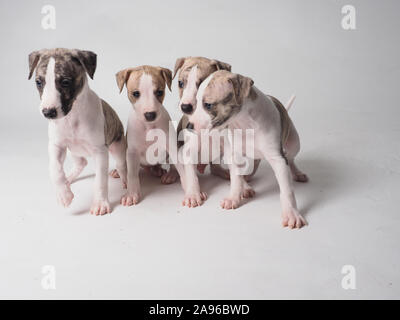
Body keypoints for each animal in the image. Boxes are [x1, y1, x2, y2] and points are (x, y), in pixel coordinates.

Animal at [28, 48, 126, 215]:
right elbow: (55, 169)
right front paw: (63, 195)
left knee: (122, 164)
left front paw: (100, 203)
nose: (48, 112)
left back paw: (125, 179)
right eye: (38, 82)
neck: (72, 117)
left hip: (117, 146)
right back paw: (68, 179)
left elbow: (100, 180)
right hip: (73, 150)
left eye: (65, 82)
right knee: (81, 162)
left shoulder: (100, 151)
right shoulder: (56, 145)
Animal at [115, 65, 184, 205]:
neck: (149, 126)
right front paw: (131, 194)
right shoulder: (132, 152)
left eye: (159, 92)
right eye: (136, 93)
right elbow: (132, 175)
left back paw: (166, 173)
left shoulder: (171, 145)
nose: (150, 115)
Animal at [189, 71, 308, 229]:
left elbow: (287, 190)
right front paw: (233, 198)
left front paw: (291, 214)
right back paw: (248, 177)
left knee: (291, 158)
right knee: (255, 162)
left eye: (208, 105)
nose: (189, 126)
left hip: (294, 142)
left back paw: (297, 173)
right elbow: (235, 179)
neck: (244, 123)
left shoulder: (278, 160)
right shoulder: (234, 155)